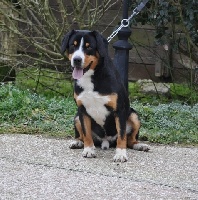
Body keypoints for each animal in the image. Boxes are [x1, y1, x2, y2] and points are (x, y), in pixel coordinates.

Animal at [61, 30, 149, 162]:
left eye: (89, 47)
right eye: (73, 45)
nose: (77, 59)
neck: (92, 78)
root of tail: (105, 141)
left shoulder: (120, 110)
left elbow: (122, 135)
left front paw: (120, 154)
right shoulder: (82, 110)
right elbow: (86, 134)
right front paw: (88, 150)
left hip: (134, 115)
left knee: (130, 140)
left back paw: (140, 145)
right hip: (76, 117)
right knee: (82, 136)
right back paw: (78, 142)